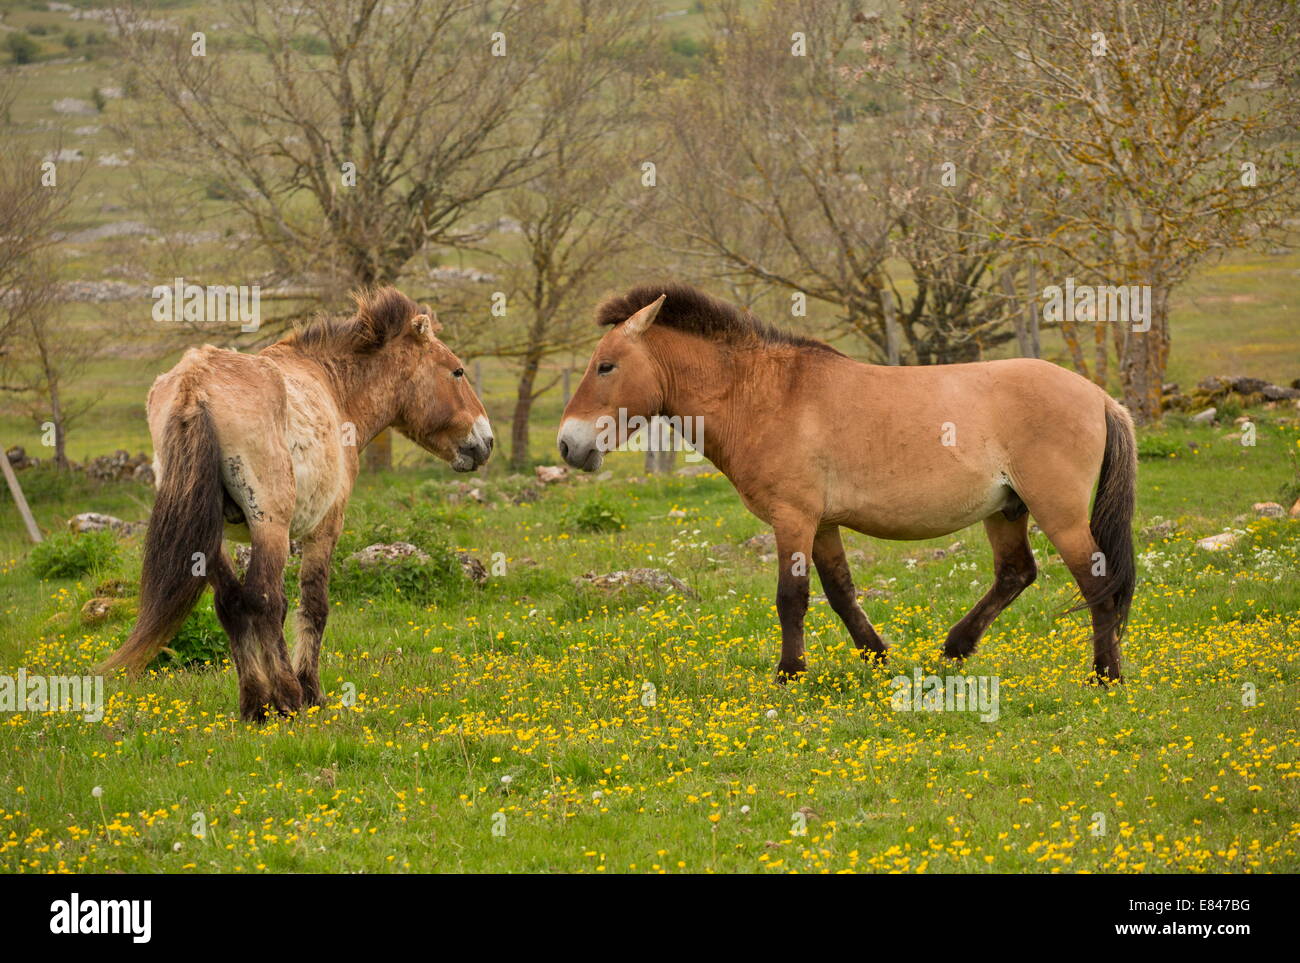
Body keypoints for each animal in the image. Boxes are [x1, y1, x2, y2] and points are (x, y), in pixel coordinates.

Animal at [102, 289, 491, 717]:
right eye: (457, 371)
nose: (486, 441)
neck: (334, 388)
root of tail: (194, 384)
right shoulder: (325, 526)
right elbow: (312, 604)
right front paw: (310, 690)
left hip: (214, 541)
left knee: (231, 603)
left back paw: (255, 702)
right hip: (268, 523)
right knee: (262, 600)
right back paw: (287, 696)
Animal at [559, 282, 1138, 680]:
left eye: (606, 366)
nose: (569, 445)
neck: (765, 395)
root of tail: (1099, 397)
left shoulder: (793, 519)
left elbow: (791, 598)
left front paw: (789, 674)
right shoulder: (821, 524)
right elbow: (840, 593)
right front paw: (876, 656)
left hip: (1057, 511)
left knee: (1096, 582)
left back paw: (1104, 676)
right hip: (1006, 509)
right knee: (1016, 574)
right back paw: (956, 647)